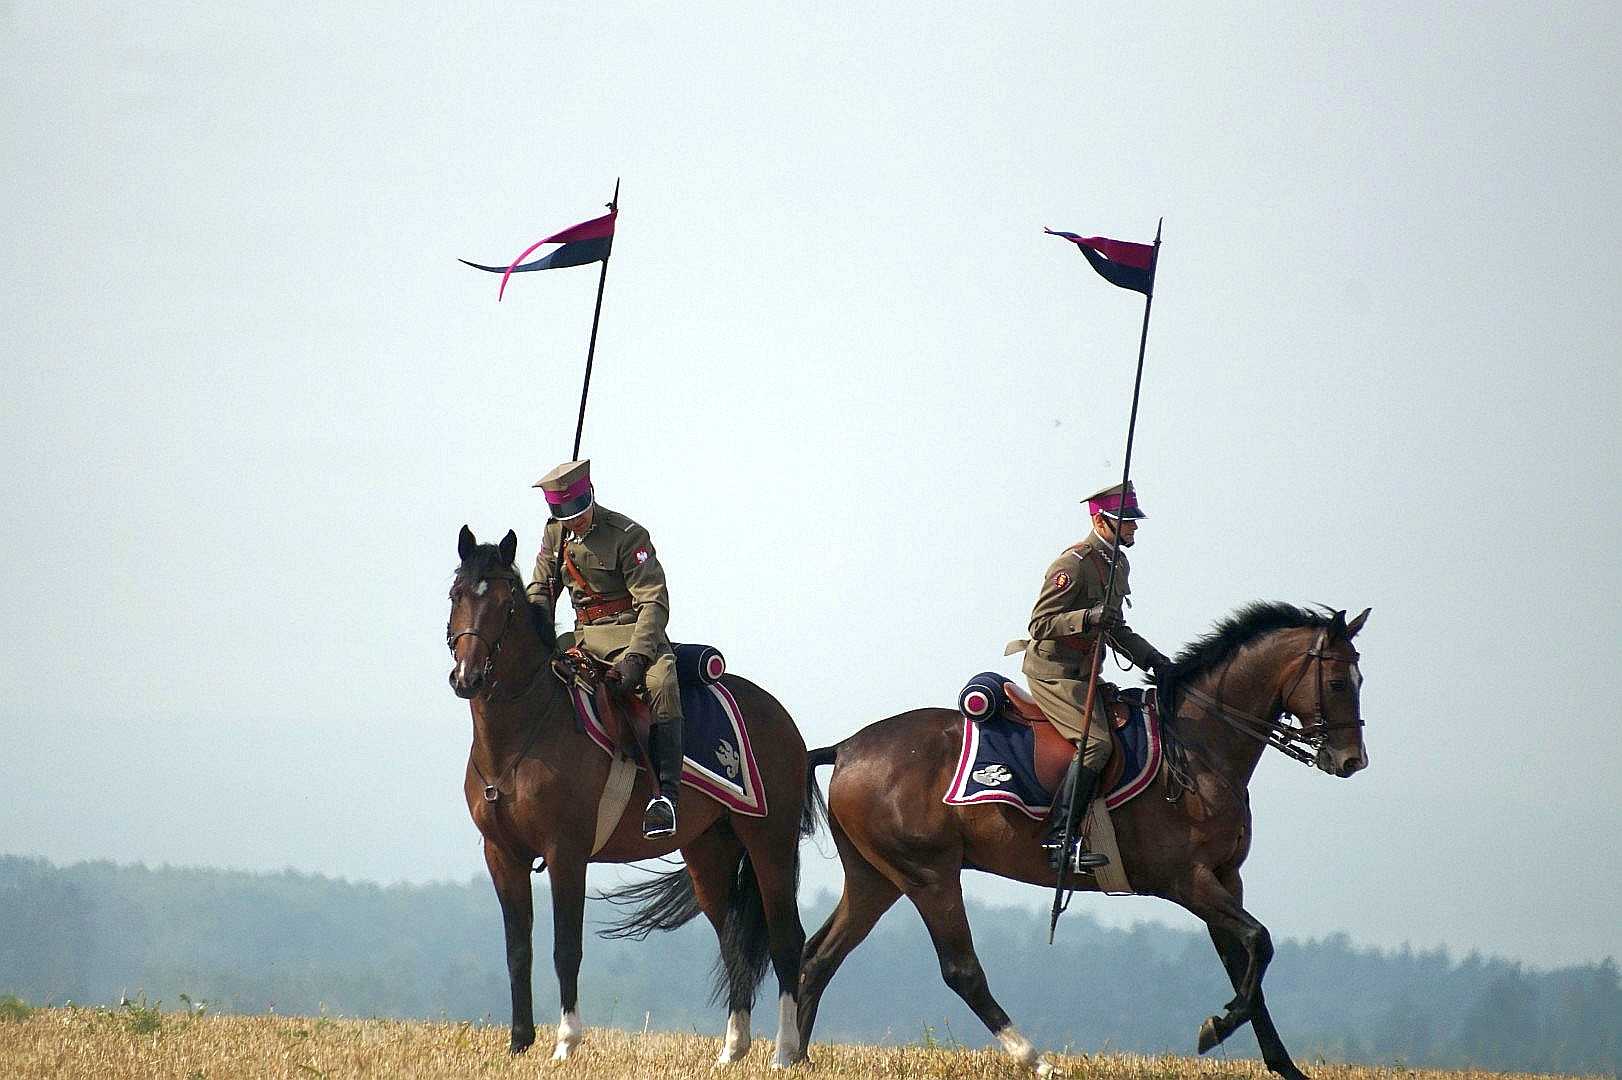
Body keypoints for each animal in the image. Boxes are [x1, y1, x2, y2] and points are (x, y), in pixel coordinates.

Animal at [446, 526, 817, 1067]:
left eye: (503, 605)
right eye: (456, 595)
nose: (467, 677)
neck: (518, 736)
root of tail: (782, 718)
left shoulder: (565, 853)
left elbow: (565, 948)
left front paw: (566, 1041)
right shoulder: (503, 855)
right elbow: (518, 949)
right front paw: (518, 1042)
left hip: (769, 841)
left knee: (786, 937)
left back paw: (785, 1051)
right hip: (709, 850)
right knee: (732, 940)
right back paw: (732, 1049)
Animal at [797, 602, 1370, 1079]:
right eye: (1338, 682)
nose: (1351, 760)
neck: (1198, 747)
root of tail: (848, 748)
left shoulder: (1226, 880)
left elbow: (1245, 962)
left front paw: (1282, 1065)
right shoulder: (1187, 881)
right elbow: (1258, 941)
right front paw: (1216, 1028)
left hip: (878, 878)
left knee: (818, 956)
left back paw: (794, 1056)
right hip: (929, 877)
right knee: (962, 972)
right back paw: (1035, 1059)